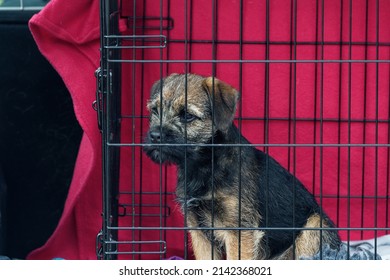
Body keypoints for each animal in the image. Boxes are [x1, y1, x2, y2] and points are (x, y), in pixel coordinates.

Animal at [144, 73, 342, 260]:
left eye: (187, 115)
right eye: (155, 110)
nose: (154, 136)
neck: (204, 165)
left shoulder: (238, 231)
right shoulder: (199, 231)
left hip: (314, 226)